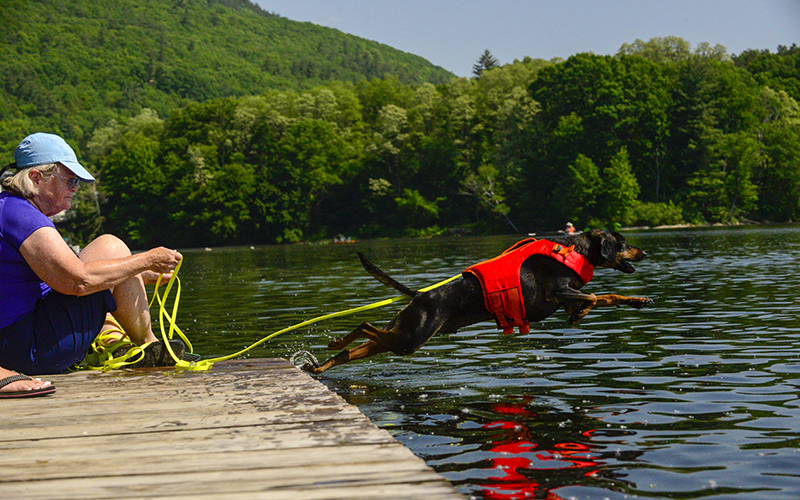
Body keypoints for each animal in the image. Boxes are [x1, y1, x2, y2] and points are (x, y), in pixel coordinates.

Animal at [304, 229, 652, 374]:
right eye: (622, 243)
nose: (644, 252)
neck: (576, 251)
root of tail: (421, 295)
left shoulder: (566, 297)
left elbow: (608, 296)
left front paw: (637, 300)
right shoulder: (557, 293)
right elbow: (593, 295)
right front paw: (581, 314)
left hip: (403, 334)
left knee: (358, 346)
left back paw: (323, 362)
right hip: (411, 339)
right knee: (366, 324)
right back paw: (334, 344)